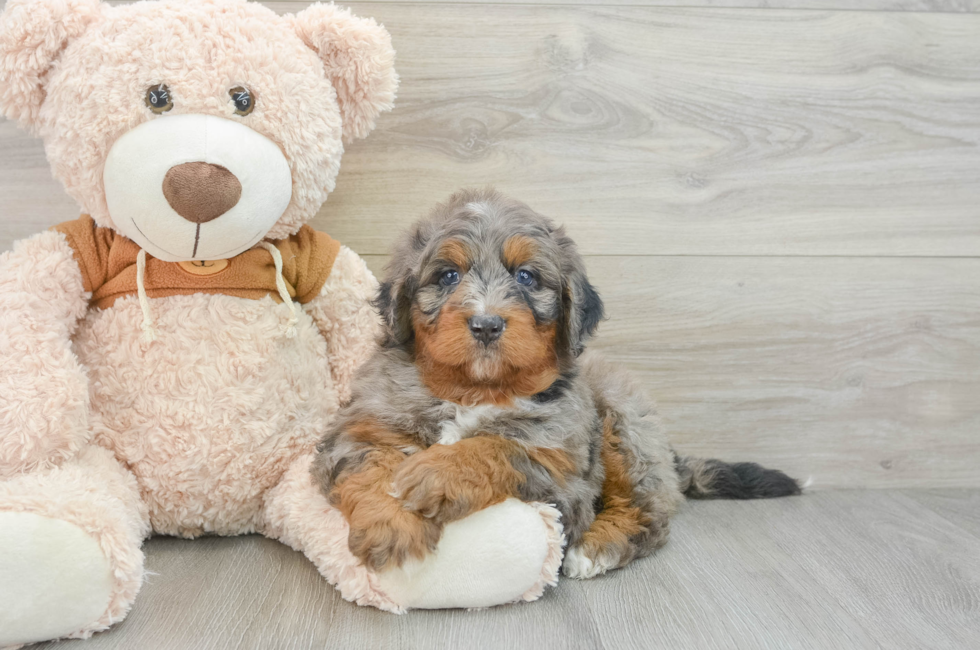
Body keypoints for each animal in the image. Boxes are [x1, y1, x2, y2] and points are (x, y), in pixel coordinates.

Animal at [314, 187, 804, 576]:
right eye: (448, 275)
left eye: (526, 276)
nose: (487, 324)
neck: (475, 390)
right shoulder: (360, 428)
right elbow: (371, 467)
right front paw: (392, 526)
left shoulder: (562, 474)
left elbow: (500, 447)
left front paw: (435, 472)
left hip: (624, 423)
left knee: (649, 514)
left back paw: (596, 550)